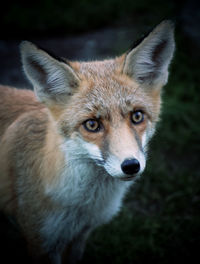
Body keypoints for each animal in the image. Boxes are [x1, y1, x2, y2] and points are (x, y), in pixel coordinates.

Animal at [0, 21, 175, 264]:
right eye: (92, 124)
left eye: (137, 116)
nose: (131, 165)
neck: (81, 208)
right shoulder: (41, 239)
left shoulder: (79, 235)